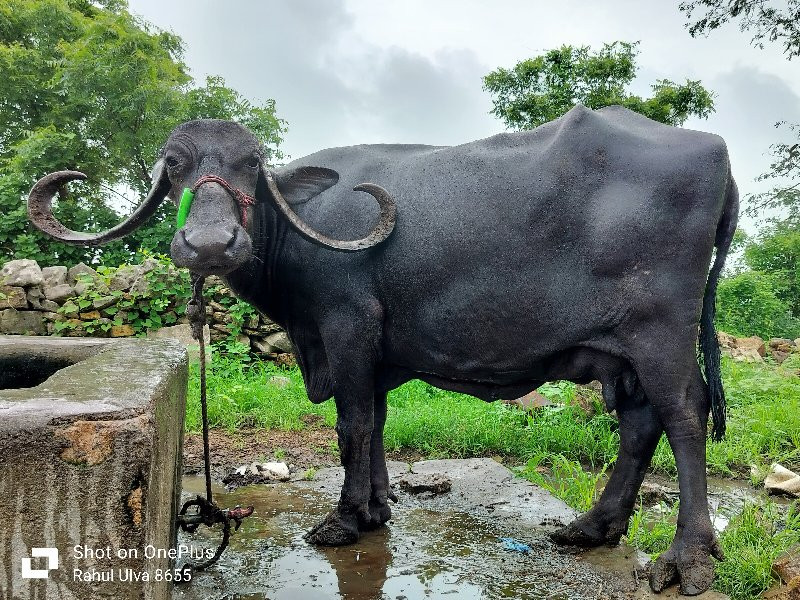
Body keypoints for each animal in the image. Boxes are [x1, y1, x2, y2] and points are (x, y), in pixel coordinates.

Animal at [34, 104, 740, 596]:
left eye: (251, 167)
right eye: (175, 163)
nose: (210, 243)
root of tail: (715, 150)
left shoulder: (346, 326)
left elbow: (350, 425)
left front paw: (344, 519)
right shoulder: (374, 351)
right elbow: (373, 422)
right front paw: (375, 506)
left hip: (660, 331)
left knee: (684, 413)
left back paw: (687, 558)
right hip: (622, 352)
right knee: (640, 423)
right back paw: (593, 527)